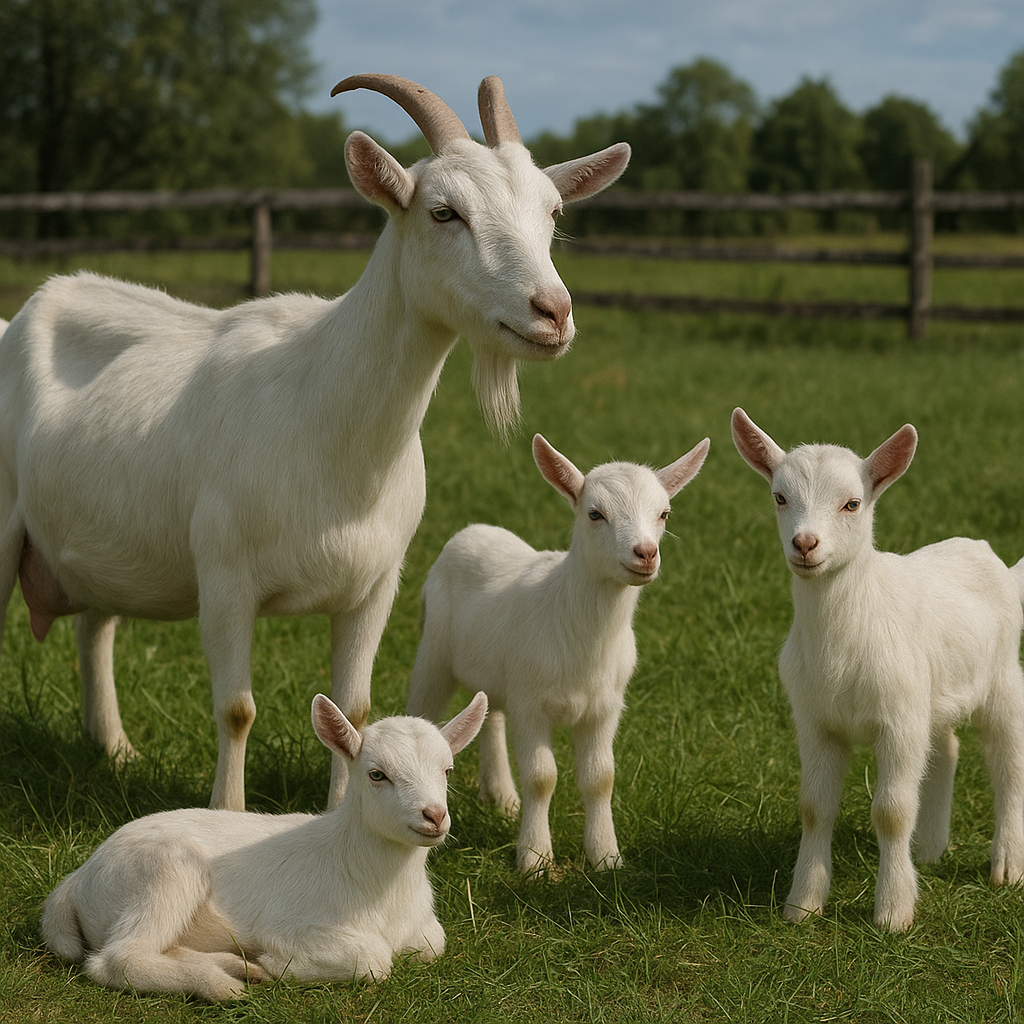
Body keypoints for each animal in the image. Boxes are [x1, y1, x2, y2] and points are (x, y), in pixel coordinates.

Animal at [0, 75, 630, 810]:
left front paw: (341, 813)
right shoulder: (225, 577)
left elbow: (353, 711)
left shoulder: (375, 585)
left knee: (94, 625)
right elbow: (236, 709)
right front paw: (227, 811)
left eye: (553, 212)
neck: (328, 422)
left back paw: (115, 748)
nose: (551, 312)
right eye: (444, 212)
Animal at [41, 691, 487, 1000]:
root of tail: (77, 879)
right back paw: (222, 986)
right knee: (118, 959)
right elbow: (374, 960)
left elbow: (433, 944)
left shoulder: (424, 933)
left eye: (448, 770)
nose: (434, 815)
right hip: (163, 874)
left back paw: (237, 966)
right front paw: (278, 962)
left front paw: (262, 964)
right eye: (377, 774)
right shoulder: (292, 924)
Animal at [407, 432, 709, 874]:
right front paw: (535, 860)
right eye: (595, 514)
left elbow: (601, 778)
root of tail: (472, 529)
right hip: (434, 652)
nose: (645, 553)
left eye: (664, 513)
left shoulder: (605, 706)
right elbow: (541, 777)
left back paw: (502, 799)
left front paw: (606, 857)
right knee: (424, 706)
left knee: (492, 715)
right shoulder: (532, 704)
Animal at [731, 407, 1024, 930]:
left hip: (1003, 678)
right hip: (931, 694)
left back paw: (1007, 864)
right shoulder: (816, 720)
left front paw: (893, 912)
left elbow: (891, 811)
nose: (805, 543)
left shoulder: (899, 722)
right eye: (780, 497)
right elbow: (814, 808)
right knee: (945, 749)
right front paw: (802, 905)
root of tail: (997, 562)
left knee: (1010, 761)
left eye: (852, 504)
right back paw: (929, 849)